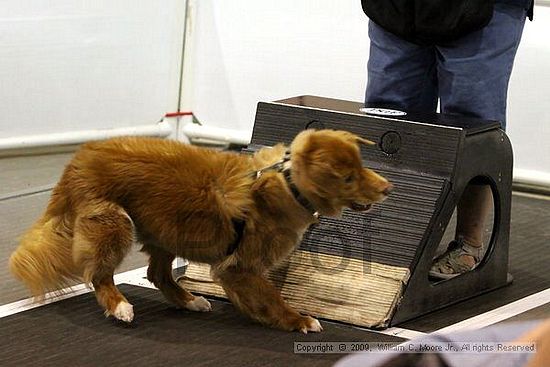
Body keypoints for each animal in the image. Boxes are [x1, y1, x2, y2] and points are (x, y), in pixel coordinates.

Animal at [8, 129, 392, 334]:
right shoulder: (240, 267)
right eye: (348, 177)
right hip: (116, 224)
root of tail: (79, 158)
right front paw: (297, 320)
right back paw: (120, 307)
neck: (287, 183)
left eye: (361, 165)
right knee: (98, 275)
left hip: (167, 228)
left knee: (157, 273)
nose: (387, 188)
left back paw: (189, 300)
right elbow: (271, 297)